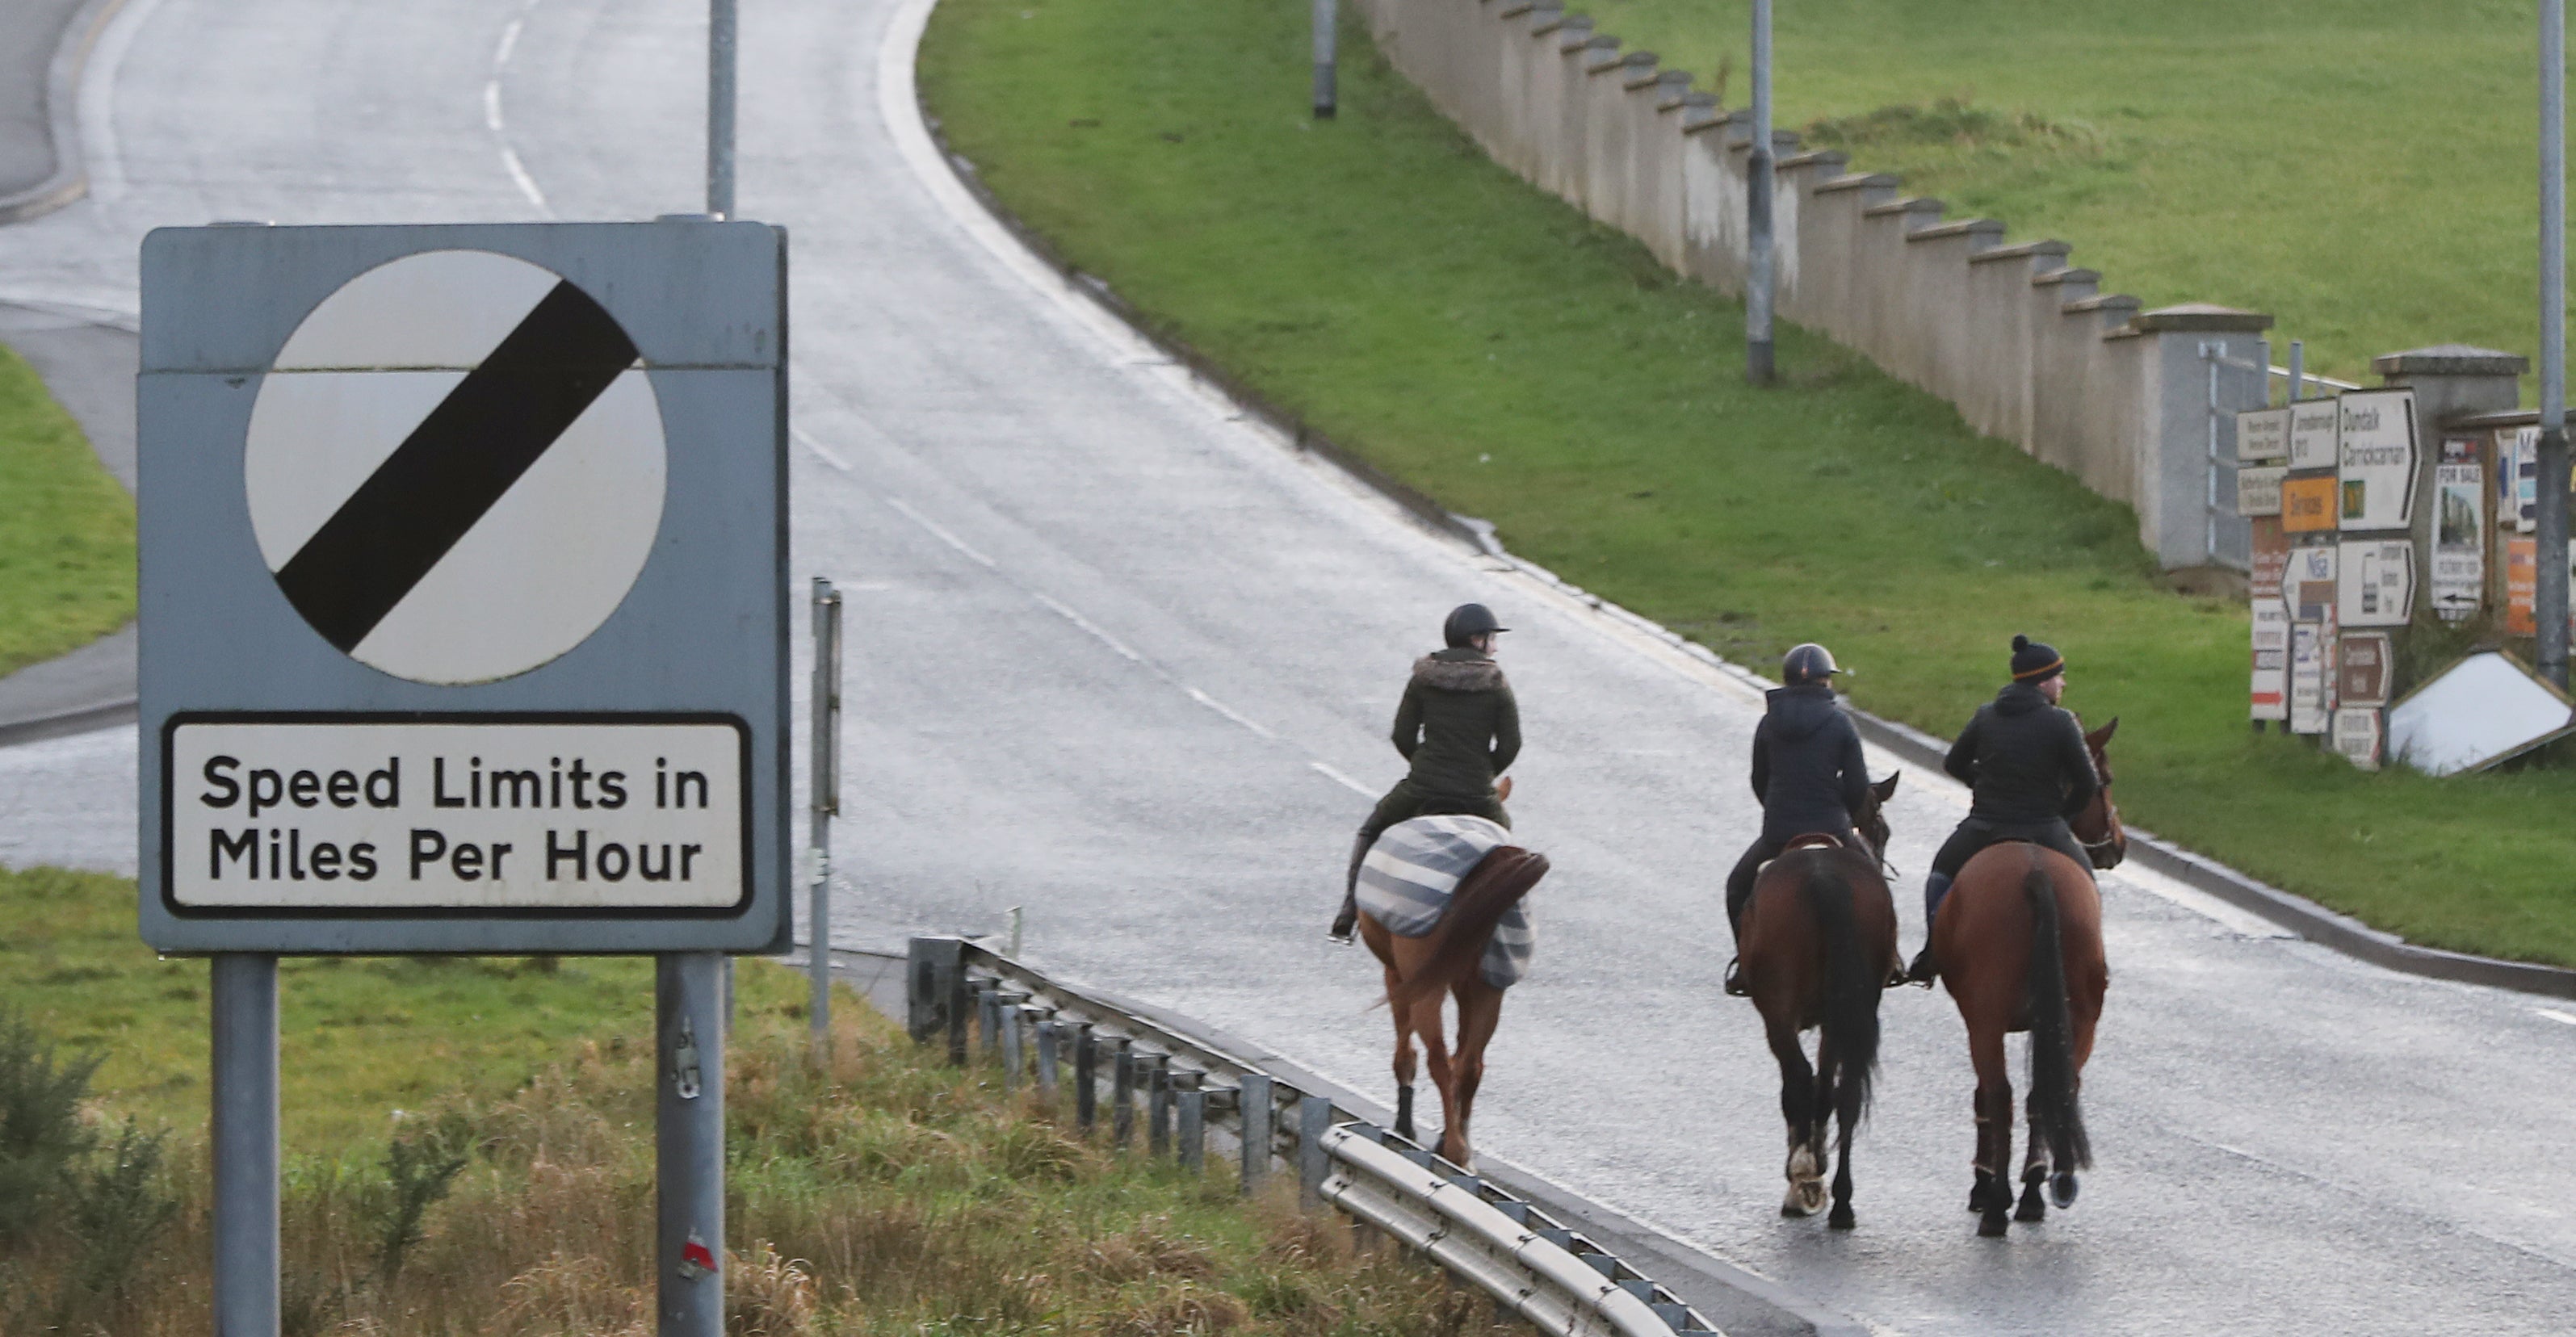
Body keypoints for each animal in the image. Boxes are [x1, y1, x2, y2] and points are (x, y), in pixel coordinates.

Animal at [1349, 777, 1546, 1164]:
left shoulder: (1399, 977)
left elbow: (1406, 1051)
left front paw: (1406, 1124)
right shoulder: (1465, 983)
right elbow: (1461, 1054)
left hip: (1427, 986)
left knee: (1438, 1058)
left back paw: (1451, 1148)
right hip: (1489, 987)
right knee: (1470, 1064)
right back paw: (1460, 1148)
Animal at [1741, 773, 1906, 1236]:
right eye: (1883, 830)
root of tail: (1823, 877)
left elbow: (1799, 1088)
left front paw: (1804, 1174)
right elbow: (1827, 1091)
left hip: (1778, 1011)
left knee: (1798, 1079)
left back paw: (1804, 1179)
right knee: (1844, 1091)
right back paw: (1842, 1203)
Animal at [1936, 716, 2133, 1241]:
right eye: (2106, 779)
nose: (2118, 845)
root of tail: (2036, 872)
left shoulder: (1980, 1023)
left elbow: (1985, 1097)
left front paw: (1983, 1185)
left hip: (1985, 1021)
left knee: (2000, 1096)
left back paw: (1997, 1201)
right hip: (2079, 1020)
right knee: (2045, 1095)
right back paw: (2032, 1193)